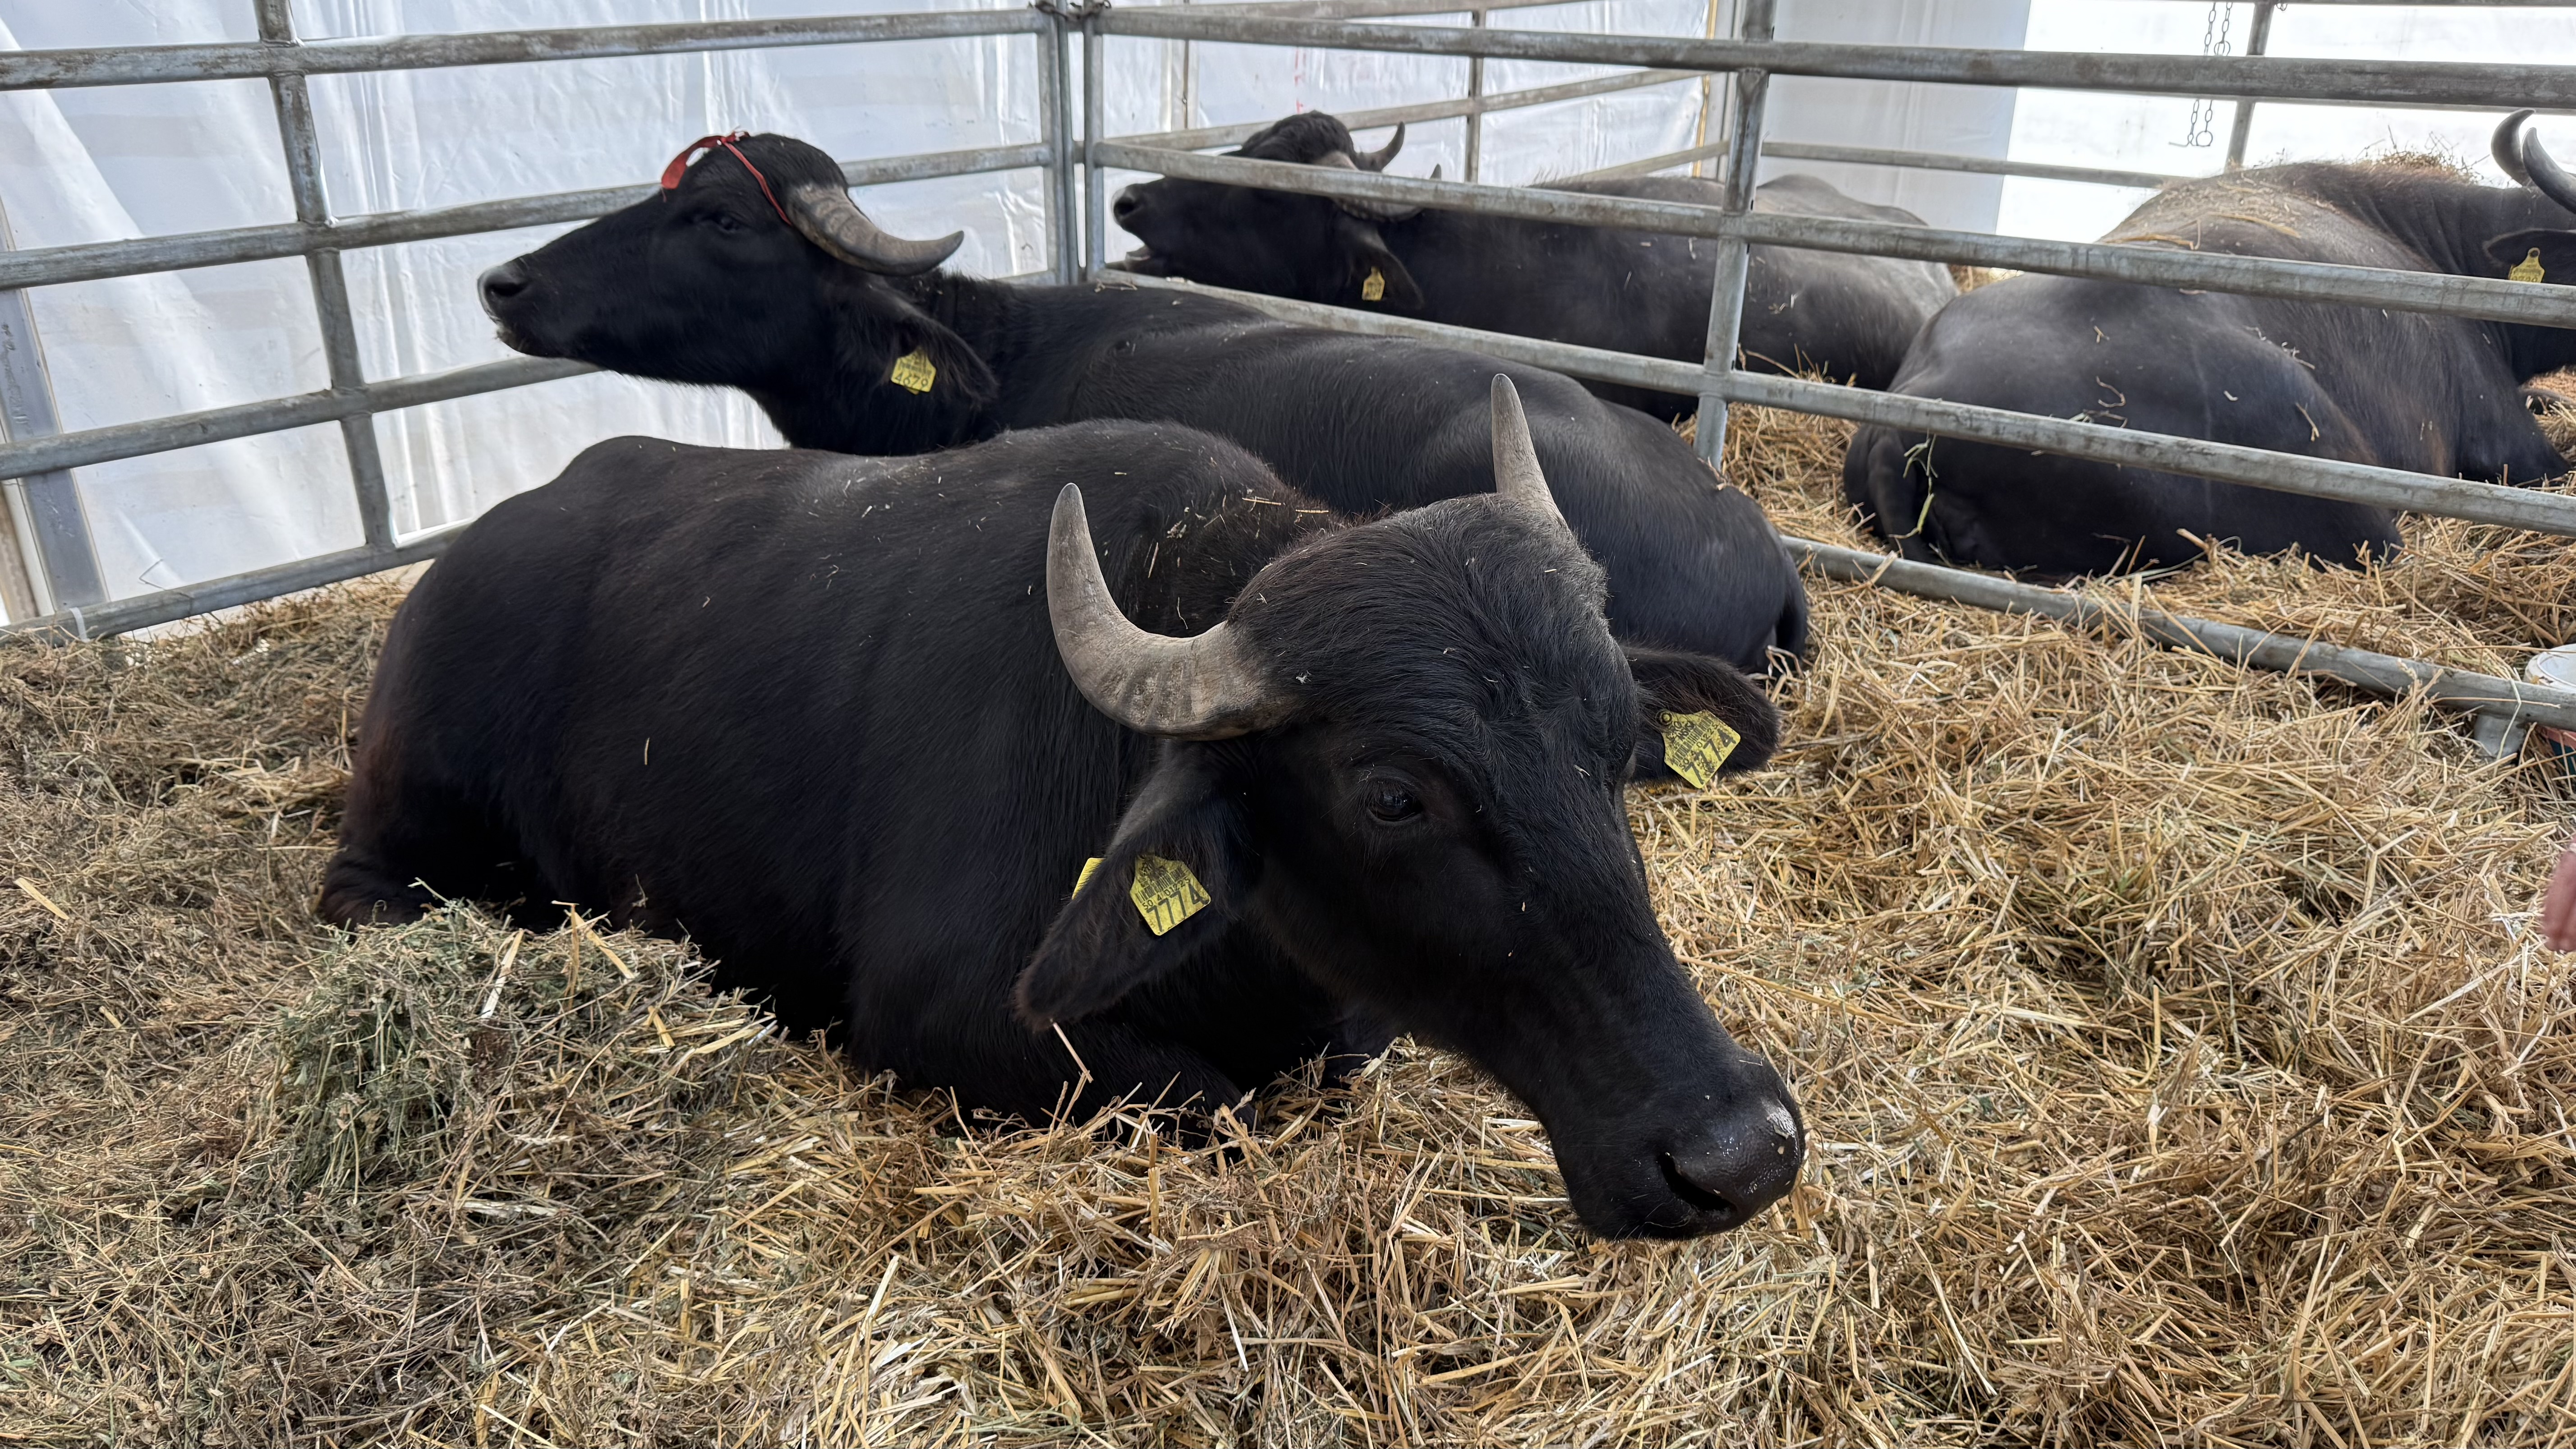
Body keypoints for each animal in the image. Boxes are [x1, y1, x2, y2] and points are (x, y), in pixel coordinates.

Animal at [319, 380, 1806, 1240]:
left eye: (1612, 744)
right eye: (1394, 794)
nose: (1734, 1150)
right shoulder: (948, 1022)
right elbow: (1220, 1106)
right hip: (403, 838)